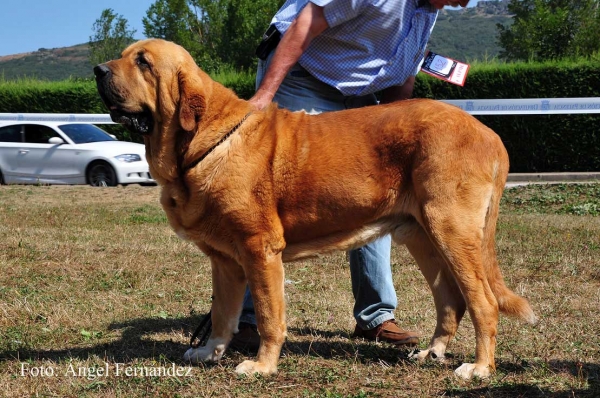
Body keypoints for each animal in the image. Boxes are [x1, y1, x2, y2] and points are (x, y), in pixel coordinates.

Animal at [96, 39, 536, 380]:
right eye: (126, 55)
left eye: (143, 62)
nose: (98, 70)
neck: (200, 142)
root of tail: (489, 133)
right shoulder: (225, 261)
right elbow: (222, 313)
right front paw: (209, 352)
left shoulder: (259, 249)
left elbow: (269, 315)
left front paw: (261, 366)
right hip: (421, 235)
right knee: (449, 299)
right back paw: (432, 352)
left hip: (452, 231)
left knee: (482, 302)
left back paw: (479, 368)